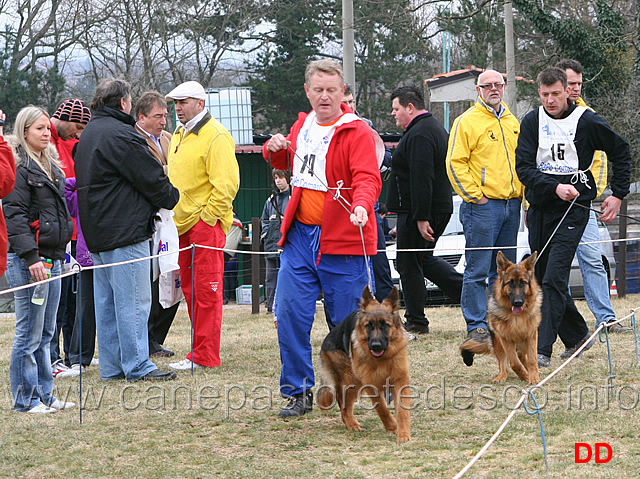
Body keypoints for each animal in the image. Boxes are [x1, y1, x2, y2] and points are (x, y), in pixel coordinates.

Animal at [318, 286, 412, 444]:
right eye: (369, 326)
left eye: (385, 325)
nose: (375, 346)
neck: (382, 359)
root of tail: (326, 342)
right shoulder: (371, 384)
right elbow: (382, 409)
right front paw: (393, 427)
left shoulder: (400, 381)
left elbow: (402, 410)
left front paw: (403, 433)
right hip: (352, 380)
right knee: (343, 403)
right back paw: (352, 424)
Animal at [458, 253, 544, 384]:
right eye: (510, 283)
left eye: (523, 283)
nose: (518, 303)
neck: (516, 317)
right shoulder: (505, 339)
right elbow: (514, 363)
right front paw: (525, 376)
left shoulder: (531, 336)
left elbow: (532, 360)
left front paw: (533, 378)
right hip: (499, 343)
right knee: (505, 363)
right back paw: (502, 376)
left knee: (522, 357)